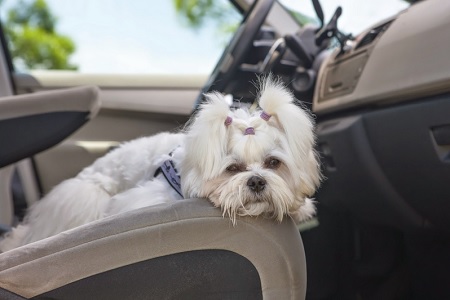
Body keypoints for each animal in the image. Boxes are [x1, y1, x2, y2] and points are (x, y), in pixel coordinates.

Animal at [1, 77, 322, 251]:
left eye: (273, 163)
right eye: (232, 169)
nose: (256, 180)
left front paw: (299, 208)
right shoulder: (147, 199)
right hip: (85, 197)